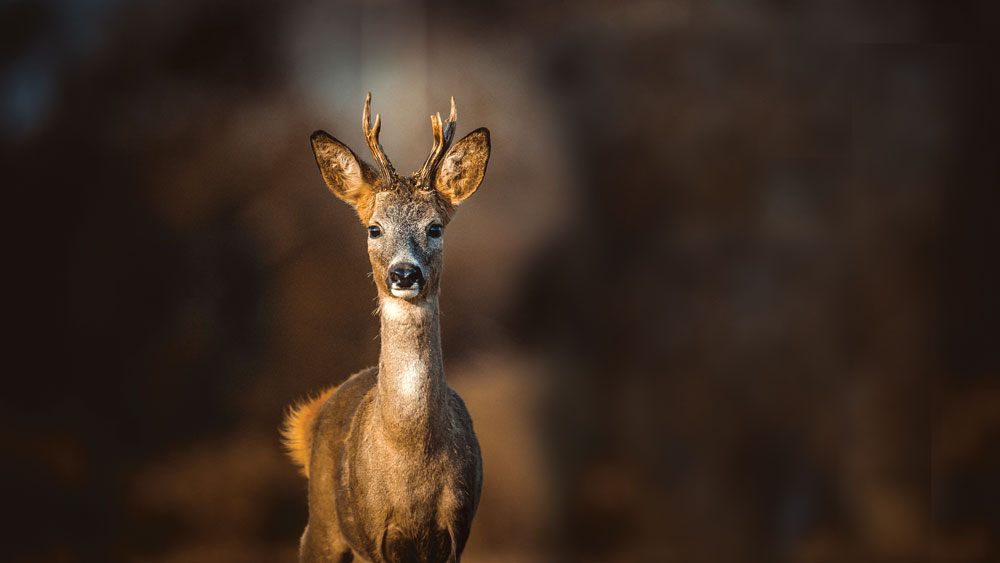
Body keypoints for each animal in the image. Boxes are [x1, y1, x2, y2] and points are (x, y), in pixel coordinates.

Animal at [282, 93, 488, 563]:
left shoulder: (458, 530)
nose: (404, 274)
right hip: (323, 525)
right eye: (374, 228)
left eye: (434, 227)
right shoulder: (374, 533)